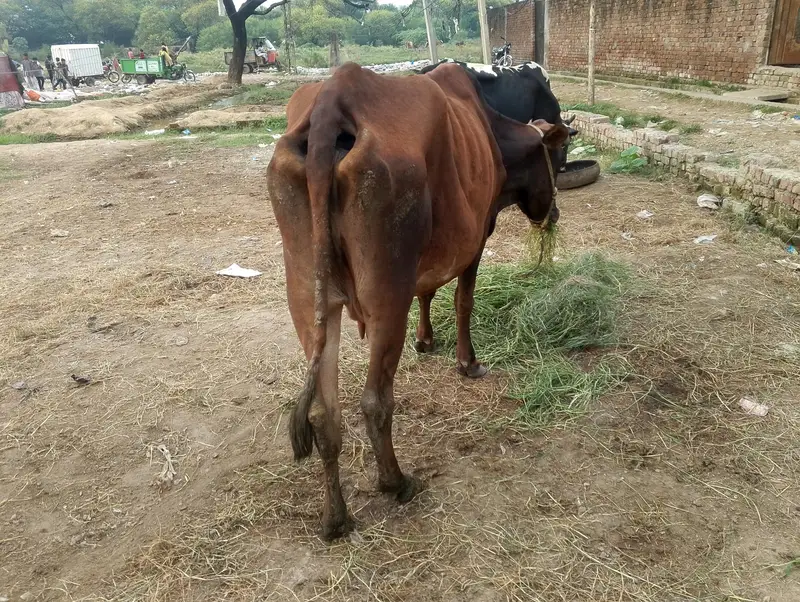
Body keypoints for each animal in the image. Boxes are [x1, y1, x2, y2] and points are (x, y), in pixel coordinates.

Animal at [267, 62, 568, 539]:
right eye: (556, 158)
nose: (554, 213)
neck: (490, 127)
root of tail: (335, 95)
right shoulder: (477, 236)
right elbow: (463, 301)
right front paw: (468, 362)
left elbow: (428, 291)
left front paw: (425, 340)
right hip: (387, 294)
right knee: (374, 401)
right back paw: (396, 482)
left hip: (308, 296)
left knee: (323, 415)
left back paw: (335, 519)